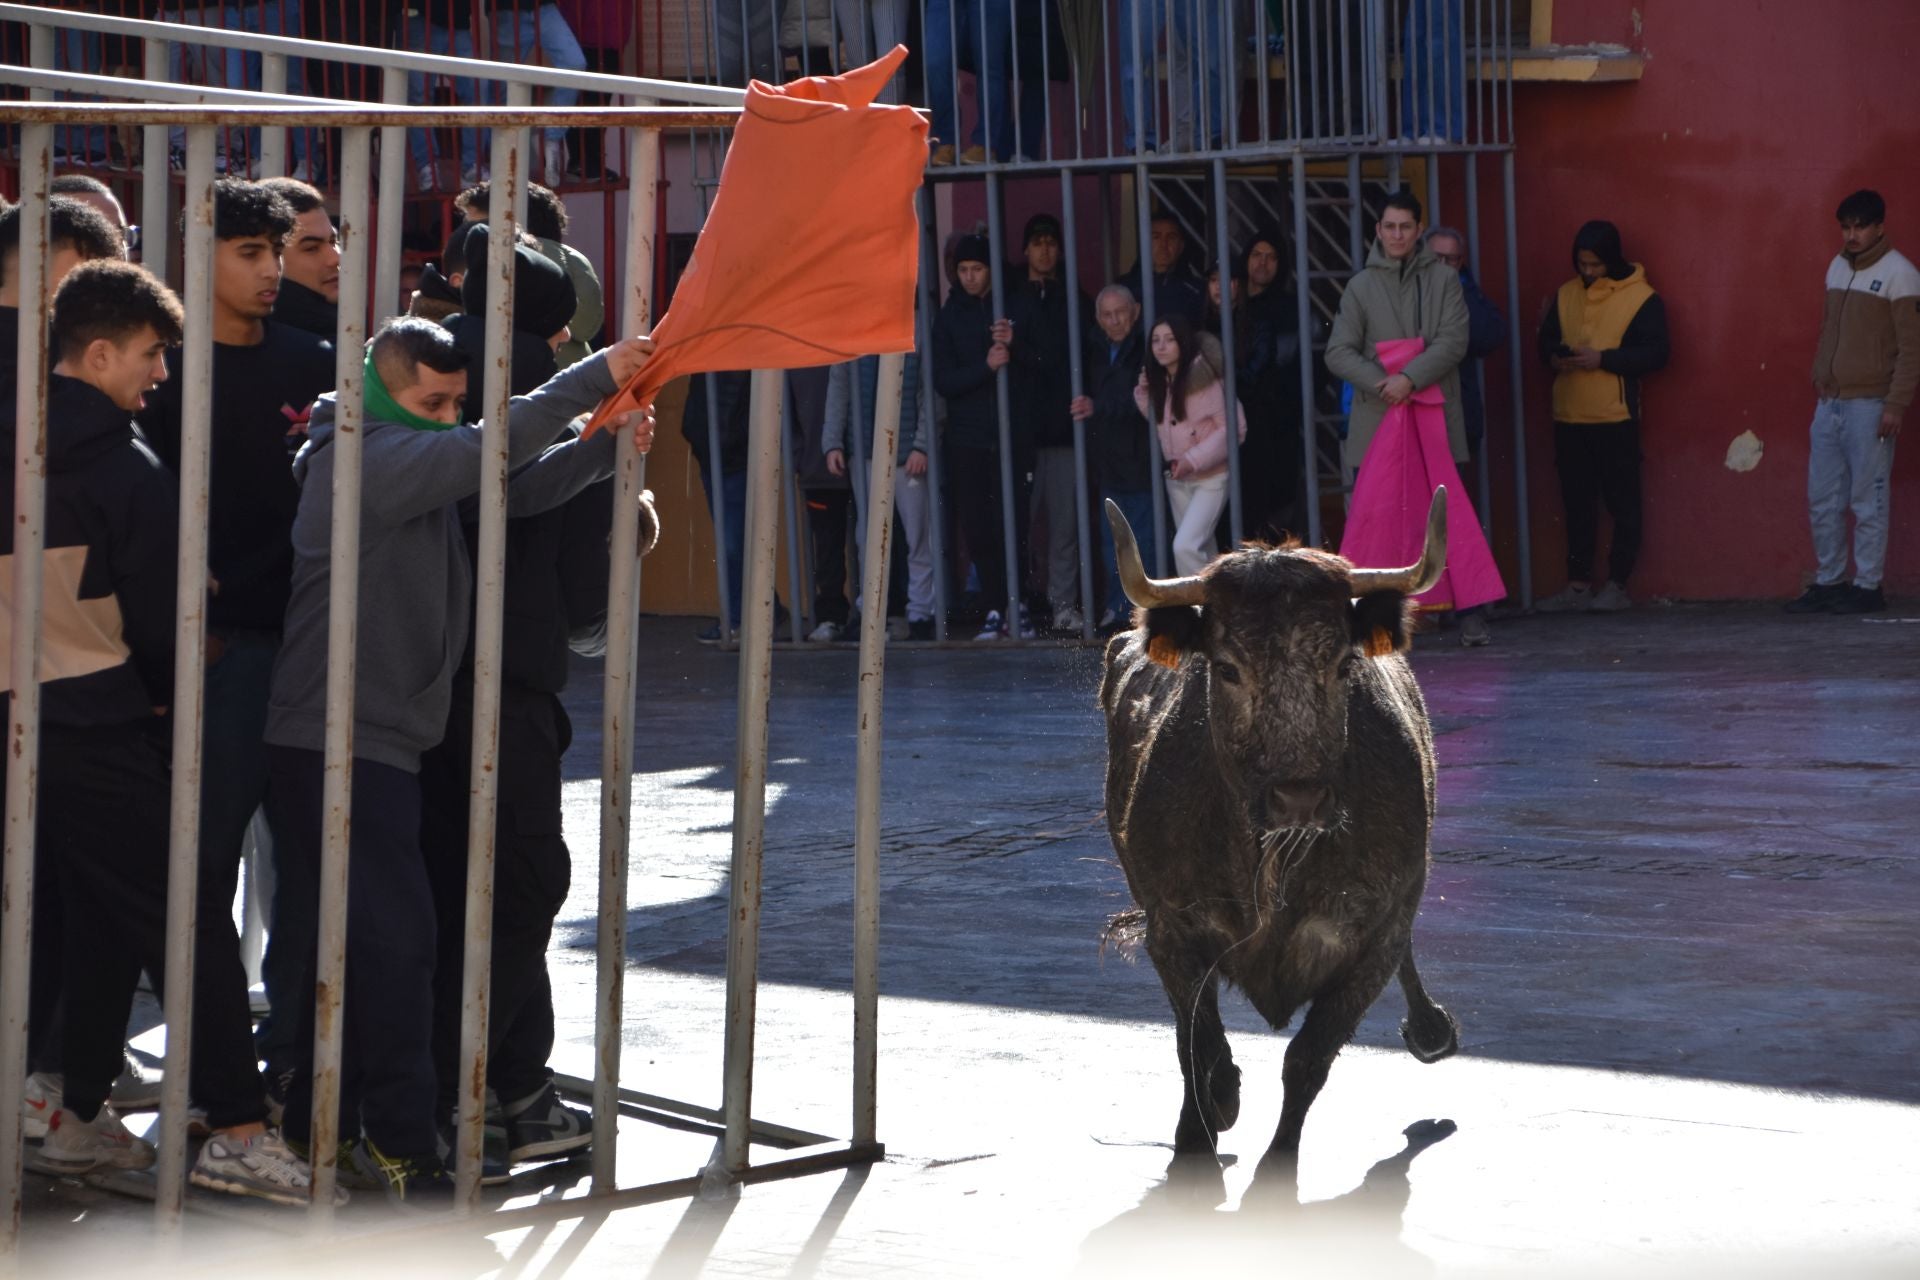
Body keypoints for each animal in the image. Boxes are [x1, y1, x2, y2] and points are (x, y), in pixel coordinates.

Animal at [1105, 487, 1459, 1159]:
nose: (1300, 798)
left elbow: (1308, 1059)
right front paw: (1206, 1120)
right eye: (1226, 667)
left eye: (1344, 664)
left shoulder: (1376, 936)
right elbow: (1197, 1042)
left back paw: (1432, 1030)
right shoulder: (1171, 929)